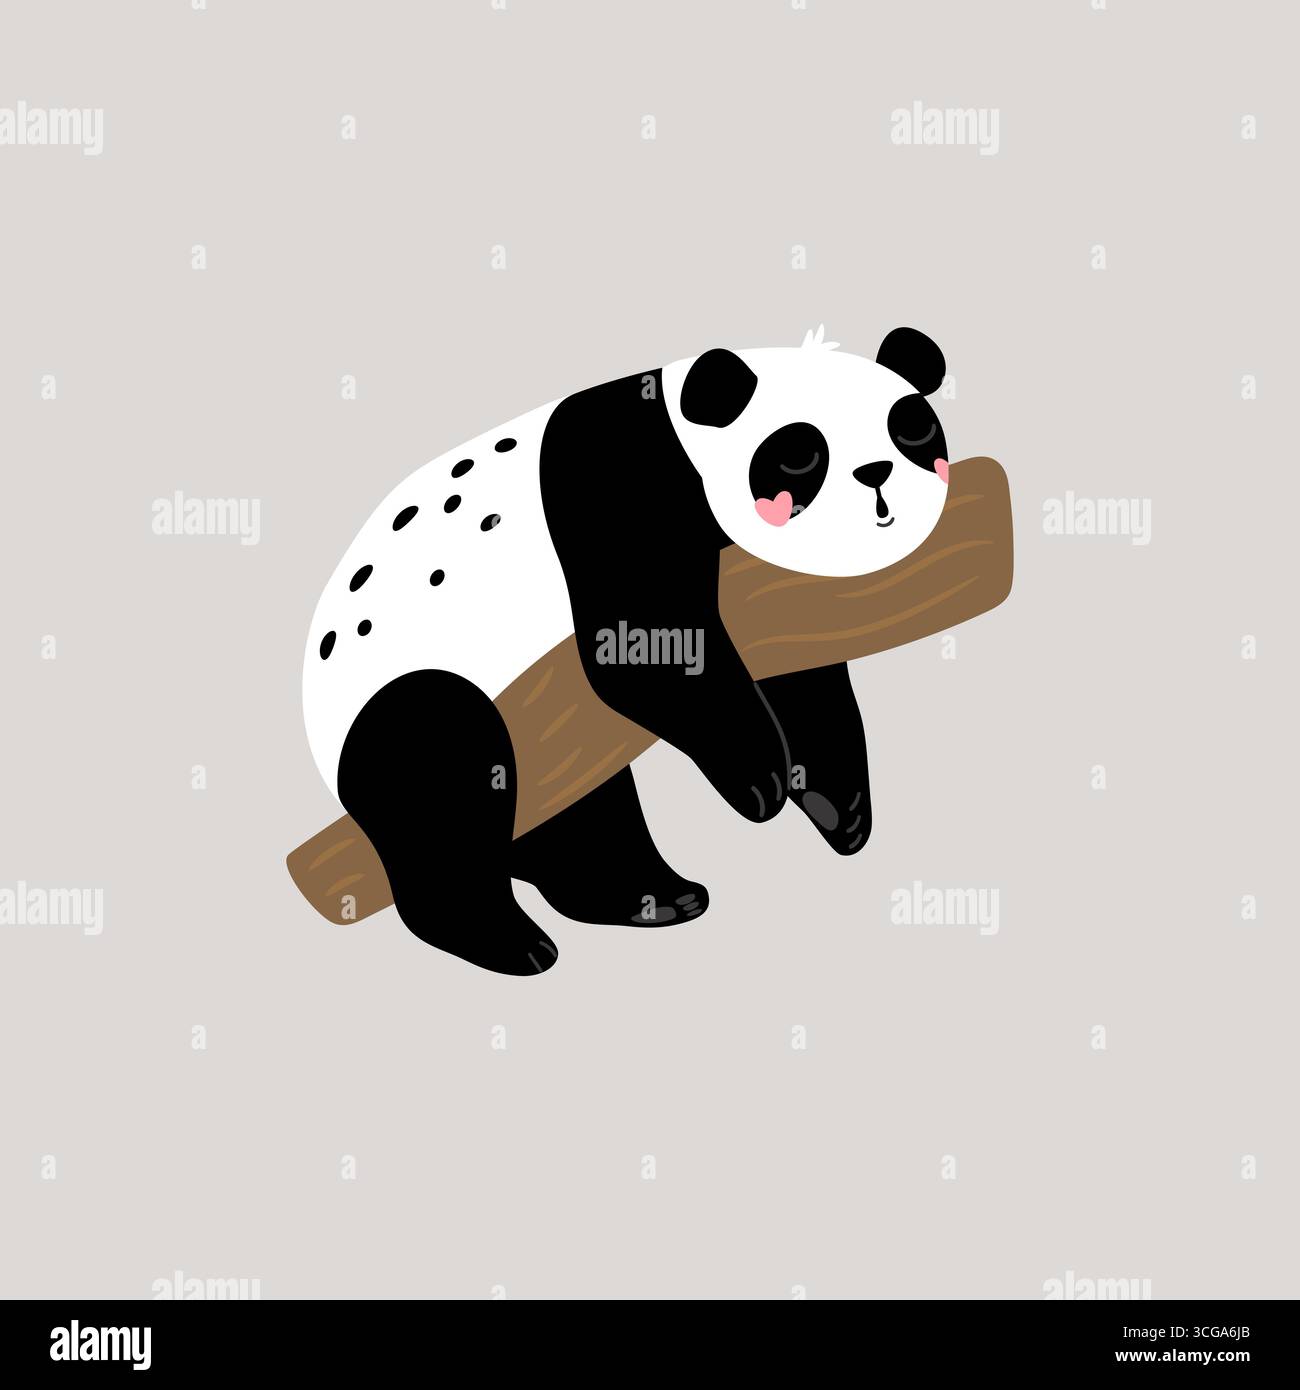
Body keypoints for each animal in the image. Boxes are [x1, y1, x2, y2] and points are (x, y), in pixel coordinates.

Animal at [303, 326, 950, 976]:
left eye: (912, 429)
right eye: (798, 454)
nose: (877, 475)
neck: (684, 435)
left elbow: (796, 659)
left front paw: (835, 803)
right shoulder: (613, 492)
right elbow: (641, 645)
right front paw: (758, 778)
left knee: (588, 815)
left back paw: (650, 895)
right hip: (396, 698)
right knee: (444, 758)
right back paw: (505, 939)